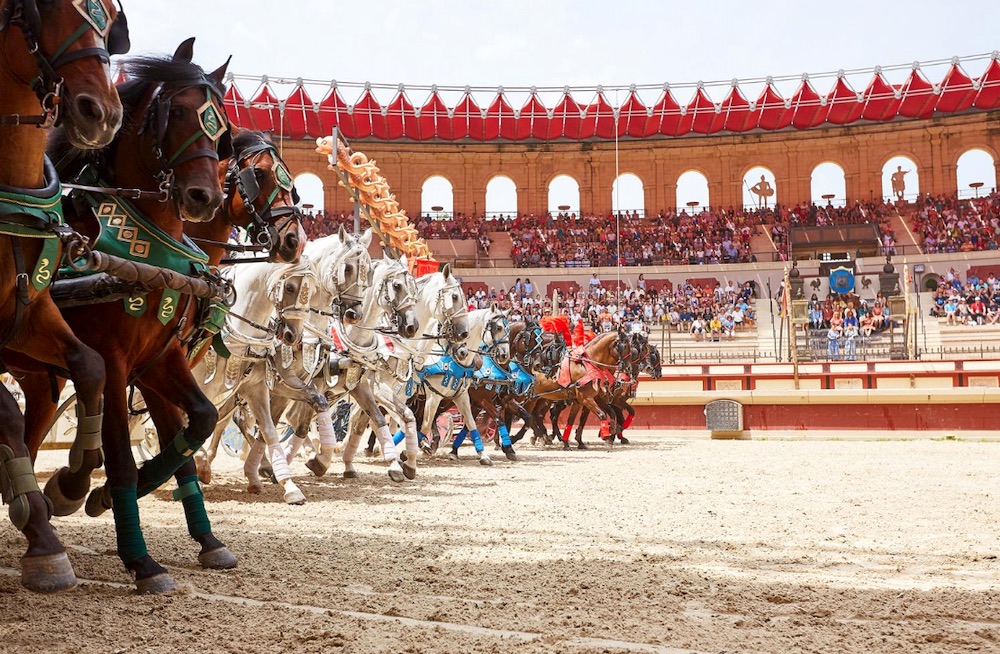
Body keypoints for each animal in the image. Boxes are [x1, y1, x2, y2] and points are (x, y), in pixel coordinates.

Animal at [8, 39, 230, 596]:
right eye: (176, 111)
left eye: (220, 128)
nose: (204, 197)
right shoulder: (113, 362)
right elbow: (122, 457)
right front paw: (141, 559)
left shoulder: (160, 359)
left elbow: (198, 424)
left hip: (36, 372)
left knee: (29, 432)